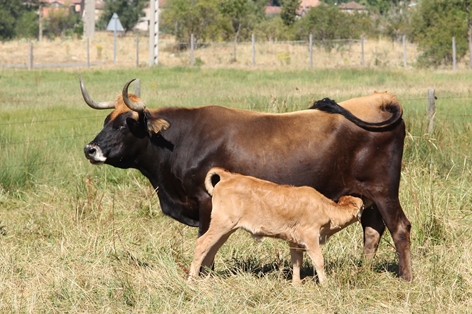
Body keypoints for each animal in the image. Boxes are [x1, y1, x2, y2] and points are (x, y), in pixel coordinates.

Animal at [189, 168, 366, 286]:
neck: (325, 208)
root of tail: (229, 176)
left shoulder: (295, 241)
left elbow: (297, 261)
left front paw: (296, 285)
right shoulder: (310, 237)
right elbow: (318, 261)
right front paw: (325, 284)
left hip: (226, 230)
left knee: (211, 249)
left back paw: (208, 278)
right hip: (222, 224)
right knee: (202, 244)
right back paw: (192, 279)